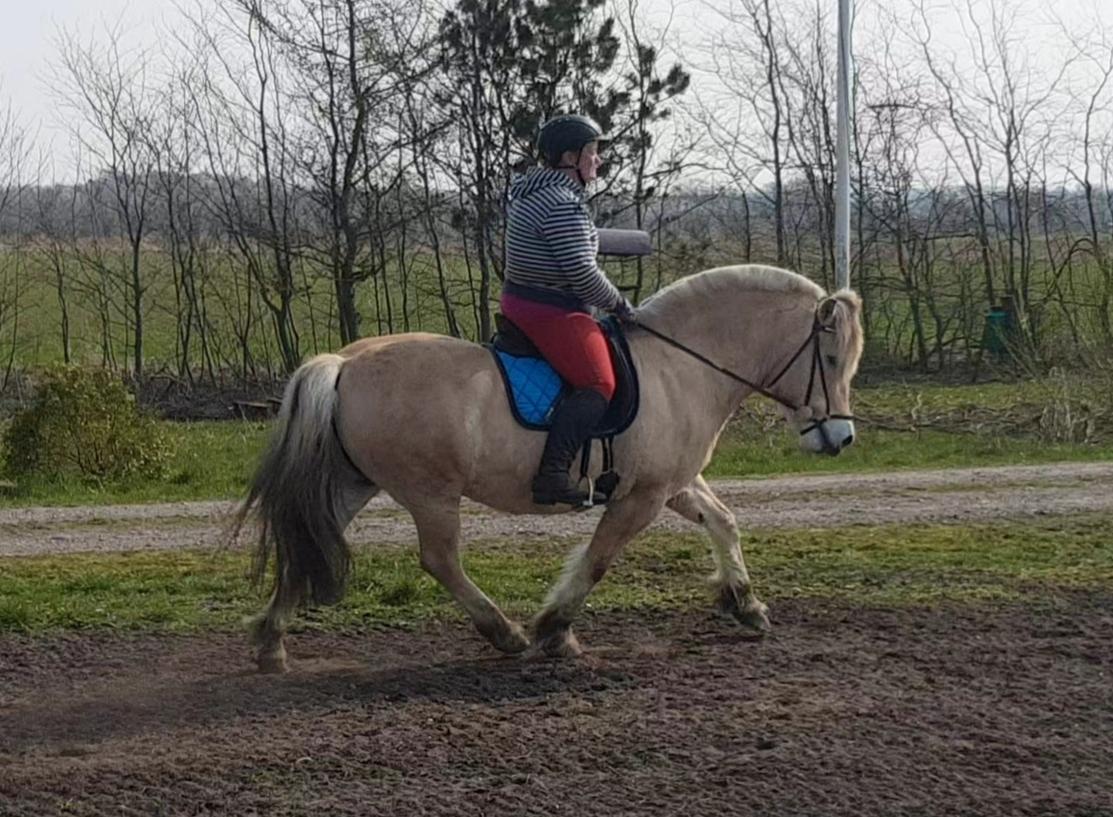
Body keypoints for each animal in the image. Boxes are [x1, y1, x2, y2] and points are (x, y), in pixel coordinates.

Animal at [232, 266, 859, 676]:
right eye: (830, 360)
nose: (841, 439)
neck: (680, 365)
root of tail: (343, 362)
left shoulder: (671, 484)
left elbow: (724, 522)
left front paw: (746, 604)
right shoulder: (642, 497)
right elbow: (598, 560)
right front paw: (555, 630)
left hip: (354, 482)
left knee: (311, 542)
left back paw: (270, 643)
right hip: (430, 492)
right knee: (440, 560)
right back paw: (504, 634)